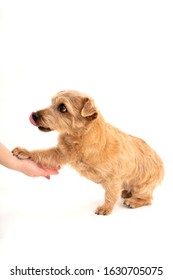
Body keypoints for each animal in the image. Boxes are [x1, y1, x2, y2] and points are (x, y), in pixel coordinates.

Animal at [12, 89, 164, 214]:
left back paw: (133, 201)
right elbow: (43, 154)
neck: (83, 135)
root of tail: (162, 164)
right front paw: (26, 152)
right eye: (51, 102)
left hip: (143, 186)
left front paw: (106, 208)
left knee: (148, 199)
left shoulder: (113, 178)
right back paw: (127, 192)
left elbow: (110, 195)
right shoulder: (62, 153)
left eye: (63, 108)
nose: (34, 115)